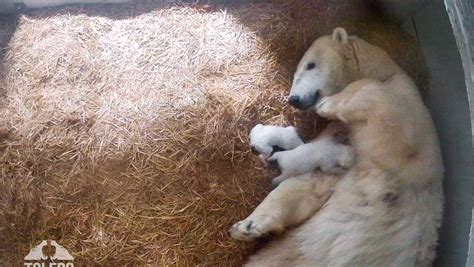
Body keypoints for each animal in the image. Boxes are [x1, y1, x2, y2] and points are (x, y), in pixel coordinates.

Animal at [231, 28, 444, 266]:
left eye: (310, 65)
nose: (293, 99)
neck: (384, 72)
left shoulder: (411, 117)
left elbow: (384, 108)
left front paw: (326, 105)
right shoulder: (337, 141)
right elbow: (309, 184)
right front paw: (246, 226)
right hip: (289, 250)